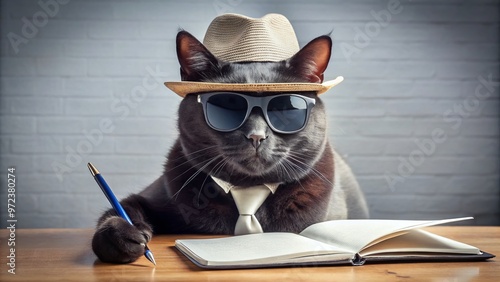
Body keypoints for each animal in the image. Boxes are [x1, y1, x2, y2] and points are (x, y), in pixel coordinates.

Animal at [92, 29, 370, 264]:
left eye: (285, 107)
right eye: (227, 104)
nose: (256, 135)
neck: (249, 190)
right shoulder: (152, 197)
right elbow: (122, 208)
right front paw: (121, 236)